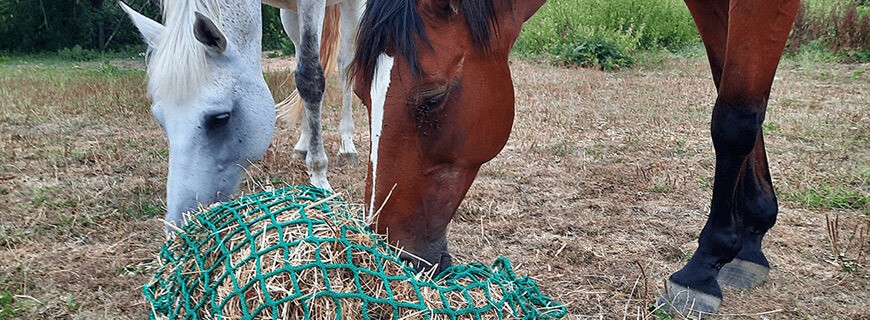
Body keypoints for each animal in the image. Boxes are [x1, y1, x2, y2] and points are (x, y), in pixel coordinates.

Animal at [120, 0, 362, 228]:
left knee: (345, 64)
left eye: (220, 118)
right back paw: (303, 144)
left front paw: (320, 179)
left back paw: (347, 145)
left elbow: (310, 78)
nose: (180, 224)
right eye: (160, 120)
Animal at [350, 0, 800, 316]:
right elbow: (734, 89)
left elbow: (736, 116)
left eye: (433, 98)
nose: (388, 250)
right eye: (358, 93)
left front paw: (704, 269)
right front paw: (750, 238)